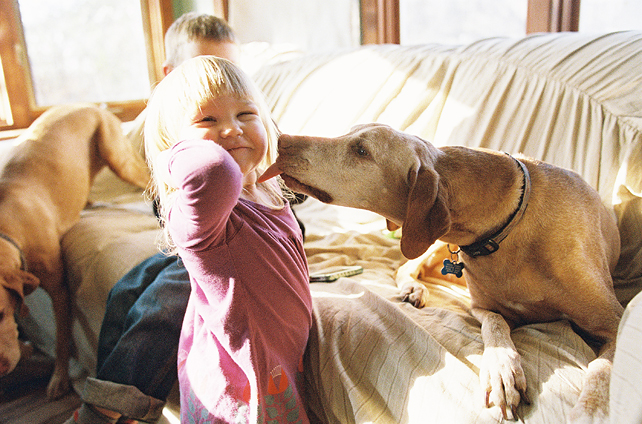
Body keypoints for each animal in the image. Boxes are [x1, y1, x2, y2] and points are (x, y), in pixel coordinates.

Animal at [0, 102, 149, 398]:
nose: (2, 369)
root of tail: (85, 104)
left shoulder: (60, 289)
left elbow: (62, 339)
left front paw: (59, 377)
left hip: (118, 157)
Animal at [258, 123, 620, 424]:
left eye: (361, 150)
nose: (282, 139)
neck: (507, 230)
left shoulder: (614, 320)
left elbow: (601, 368)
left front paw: (591, 410)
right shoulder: (482, 307)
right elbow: (496, 325)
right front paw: (501, 369)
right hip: (433, 245)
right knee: (405, 267)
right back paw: (414, 290)